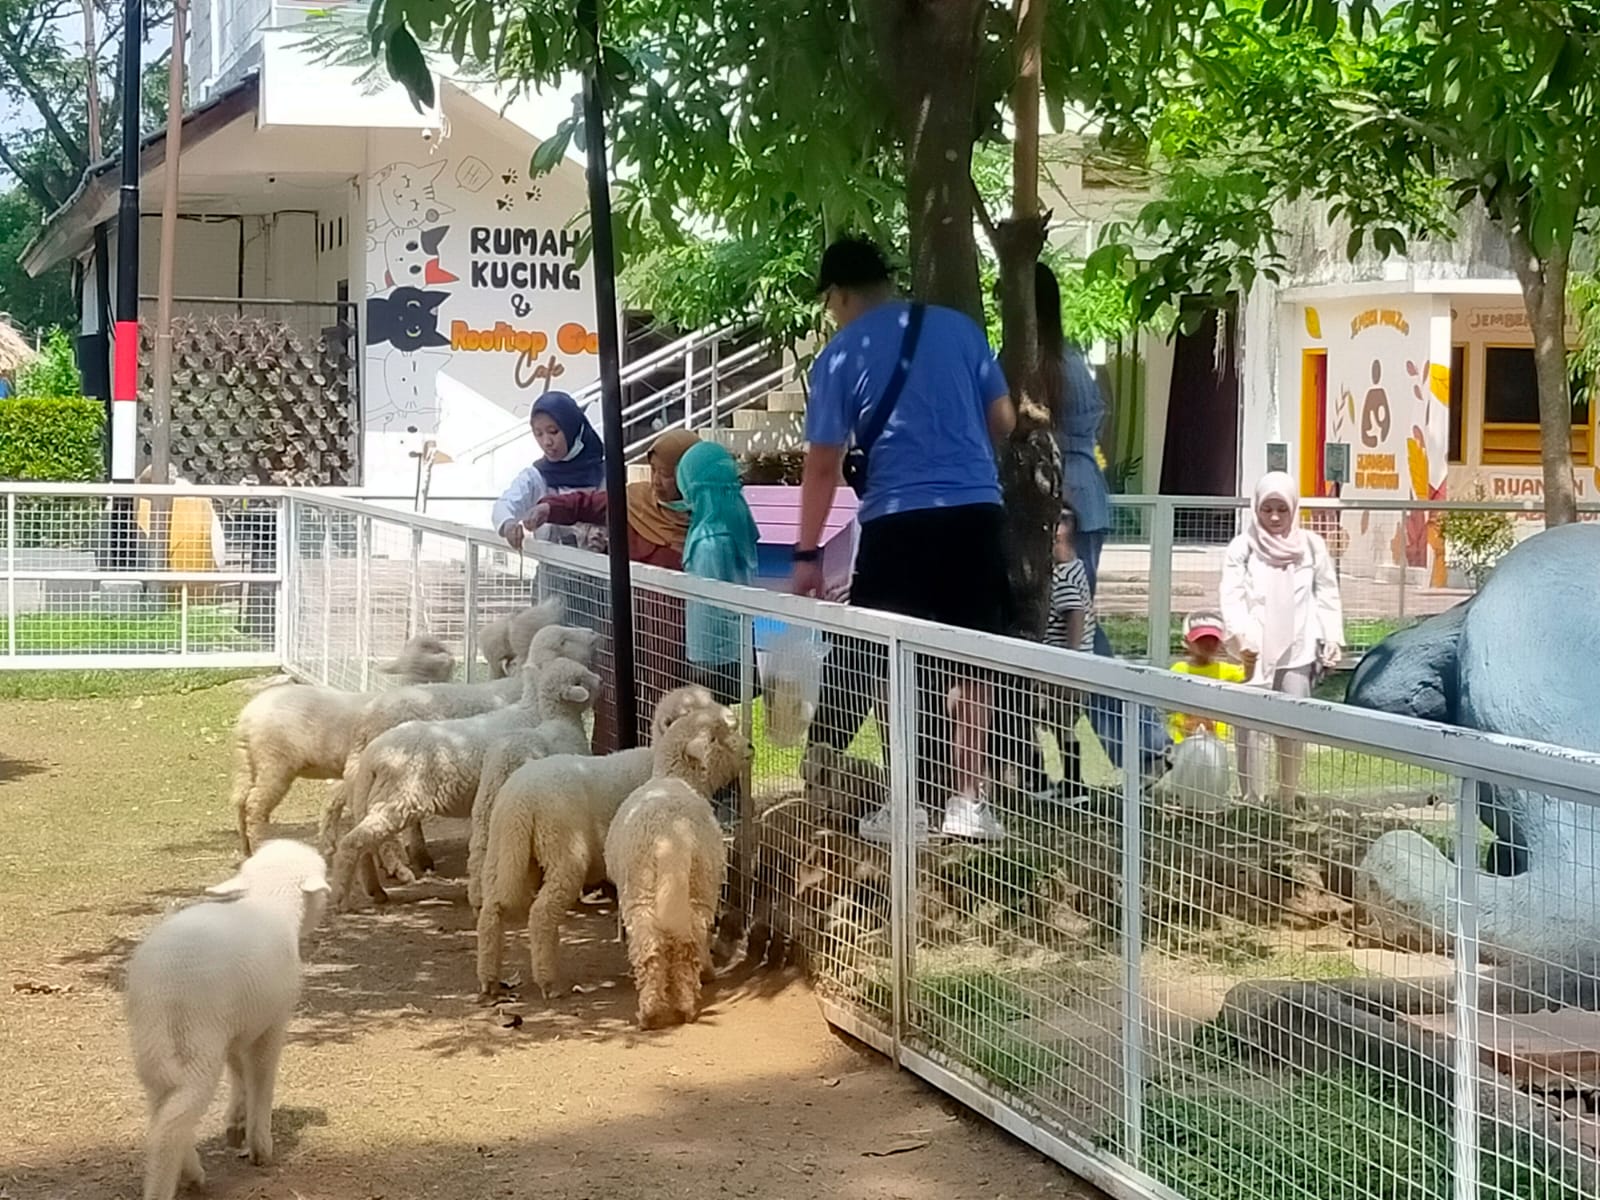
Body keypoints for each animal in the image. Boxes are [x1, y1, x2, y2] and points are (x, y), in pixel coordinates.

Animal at [122, 838, 331, 1200]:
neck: (269, 905)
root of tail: (160, 983)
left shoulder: (237, 1028)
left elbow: (238, 1070)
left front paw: (236, 1121)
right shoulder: (272, 1024)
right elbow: (262, 1077)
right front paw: (260, 1145)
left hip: (152, 1047)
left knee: (161, 1106)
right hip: (197, 1044)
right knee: (170, 1124)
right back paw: (181, 1179)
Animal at [232, 633, 457, 857]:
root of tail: (247, 716)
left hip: (249, 762)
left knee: (241, 800)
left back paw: (246, 849)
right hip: (275, 761)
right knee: (255, 805)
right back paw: (259, 846)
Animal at [329, 630, 601, 908]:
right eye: (563, 641)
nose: (593, 634)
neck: (531, 707)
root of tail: (367, 724)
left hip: (368, 788)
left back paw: (375, 884)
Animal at [473, 681, 720, 998]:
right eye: (690, 713)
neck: (661, 762)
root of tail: (520, 800)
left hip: (505, 850)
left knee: (492, 910)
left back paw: (489, 979)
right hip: (562, 850)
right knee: (540, 913)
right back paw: (549, 982)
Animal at [604, 704, 748, 1036]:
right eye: (721, 735)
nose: (751, 748)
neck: (675, 777)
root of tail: (668, 838)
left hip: (641, 893)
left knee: (652, 947)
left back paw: (652, 1011)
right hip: (697, 888)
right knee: (689, 941)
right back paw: (686, 1000)